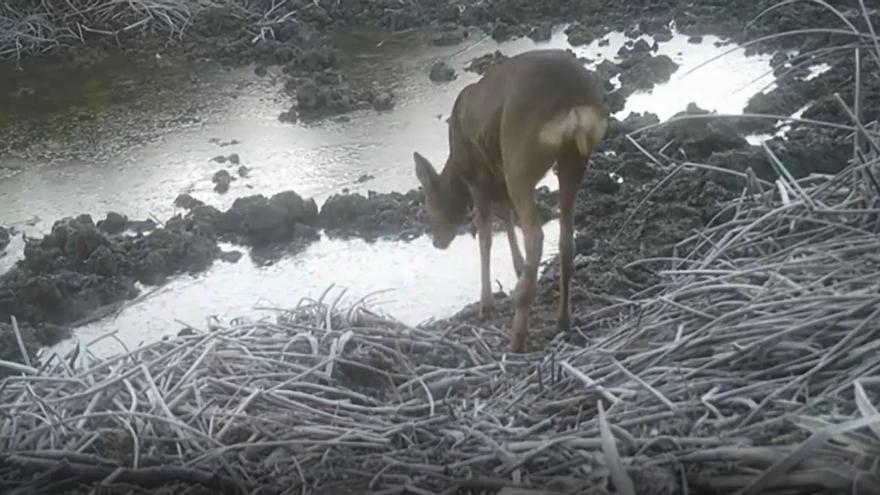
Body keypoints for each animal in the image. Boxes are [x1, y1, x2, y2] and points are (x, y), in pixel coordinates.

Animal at [410, 49, 604, 352]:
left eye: (429, 206)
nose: (437, 242)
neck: (457, 164)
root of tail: (574, 104)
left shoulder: (478, 178)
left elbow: (485, 236)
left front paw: (487, 304)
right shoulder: (497, 176)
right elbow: (507, 215)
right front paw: (517, 267)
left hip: (519, 157)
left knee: (536, 235)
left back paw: (518, 333)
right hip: (573, 159)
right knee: (565, 238)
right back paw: (562, 319)